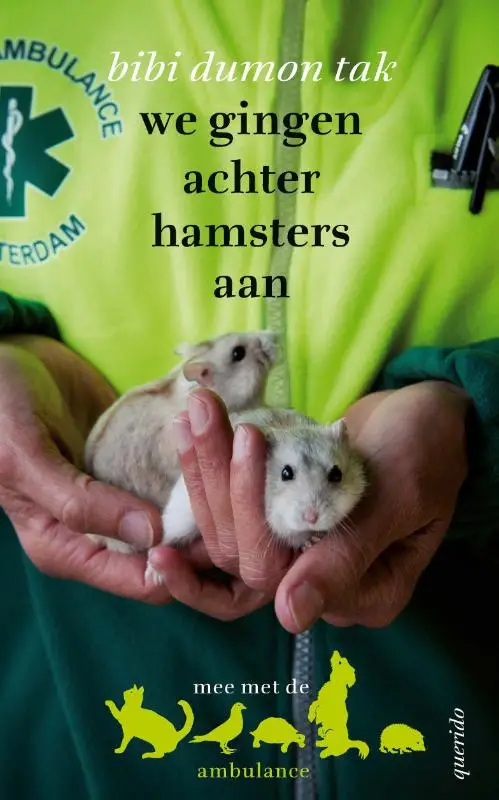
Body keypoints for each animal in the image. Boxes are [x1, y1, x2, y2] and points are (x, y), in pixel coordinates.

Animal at [153, 408, 366, 582]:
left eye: (337, 474)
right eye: (285, 473)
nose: (311, 519)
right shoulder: (275, 520)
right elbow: (290, 535)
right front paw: (310, 541)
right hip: (178, 519)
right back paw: (155, 573)